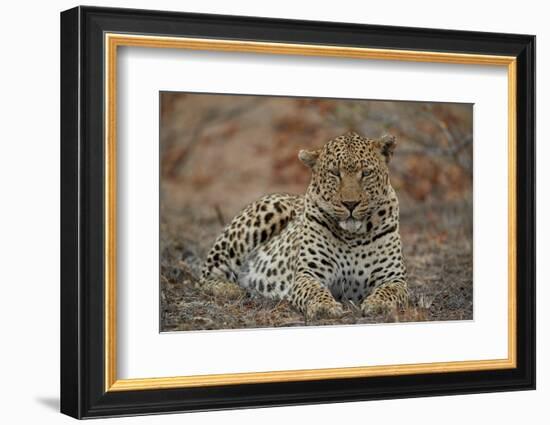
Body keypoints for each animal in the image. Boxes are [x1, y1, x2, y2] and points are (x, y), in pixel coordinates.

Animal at [198, 131, 410, 316]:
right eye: (335, 173)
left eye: (366, 173)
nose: (350, 204)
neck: (352, 236)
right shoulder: (308, 274)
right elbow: (314, 291)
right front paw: (325, 307)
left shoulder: (394, 277)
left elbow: (389, 292)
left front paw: (378, 304)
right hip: (264, 215)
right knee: (206, 277)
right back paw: (231, 289)